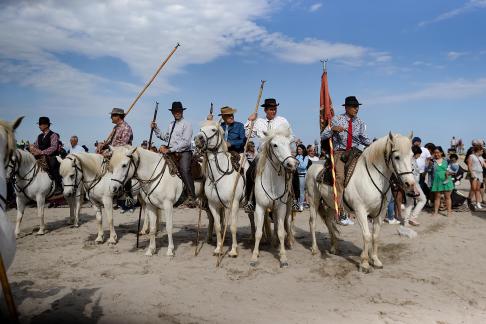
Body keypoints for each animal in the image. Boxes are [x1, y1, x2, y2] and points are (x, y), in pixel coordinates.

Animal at [194, 120, 247, 256]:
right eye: (200, 129)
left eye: (214, 130)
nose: (197, 139)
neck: (219, 177)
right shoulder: (213, 205)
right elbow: (218, 226)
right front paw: (218, 248)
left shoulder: (233, 205)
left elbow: (233, 226)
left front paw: (233, 251)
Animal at [251, 126, 300, 268]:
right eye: (275, 145)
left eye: (289, 143)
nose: (291, 164)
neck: (271, 181)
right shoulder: (260, 208)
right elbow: (258, 232)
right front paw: (254, 257)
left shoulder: (281, 207)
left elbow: (281, 232)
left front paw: (283, 258)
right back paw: (273, 242)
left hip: (288, 206)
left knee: (287, 223)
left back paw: (289, 241)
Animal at [306, 133, 416, 272]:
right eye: (397, 157)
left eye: (412, 155)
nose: (410, 184)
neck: (372, 177)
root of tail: (314, 165)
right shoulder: (361, 211)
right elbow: (367, 235)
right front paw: (364, 263)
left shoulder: (380, 212)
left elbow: (375, 235)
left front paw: (375, 260)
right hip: (313, 200)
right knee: (313, 223)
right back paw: (314, 249)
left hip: (331, 204)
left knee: (329, 222)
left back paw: (334, 248)